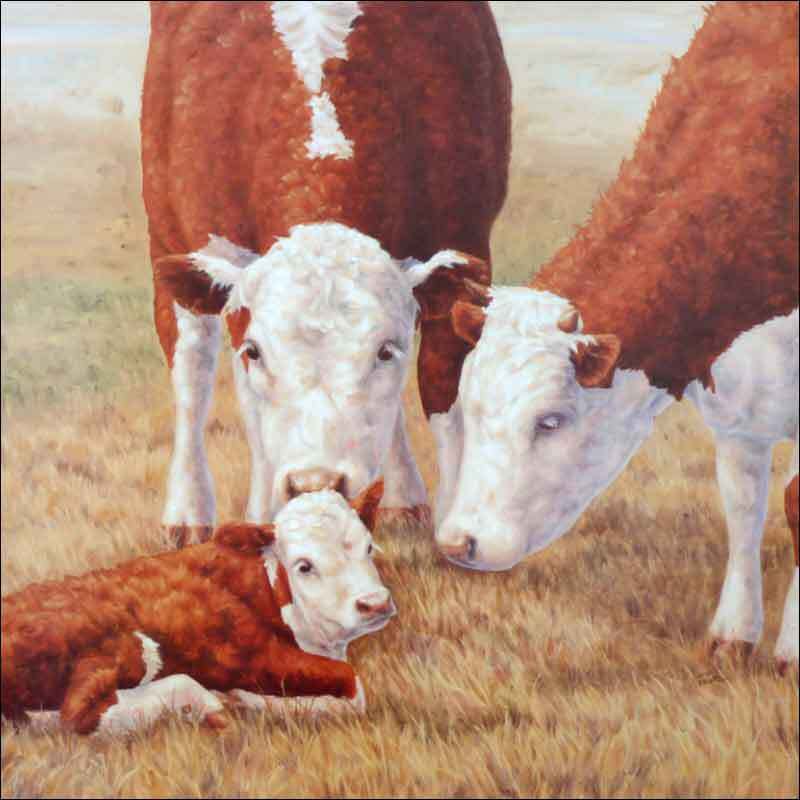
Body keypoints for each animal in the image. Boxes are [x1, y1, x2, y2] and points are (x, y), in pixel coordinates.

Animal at [1, 483, 393, 735]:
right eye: (304, 565)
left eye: (368, 546)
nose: (375, 603)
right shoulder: (255, 657)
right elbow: (353, 686)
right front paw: (261, 703)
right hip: (123, 647)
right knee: (78, 715)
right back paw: (211, 704)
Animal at [141, 1, 511, 545]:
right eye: (257, 351)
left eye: (384, 351)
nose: (316, 483)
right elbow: (242, 403)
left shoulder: (465, 244)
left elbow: (442, 391)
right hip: (168, 239)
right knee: (191, 371)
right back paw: (188, 514)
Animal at [433, 2, 799, 666]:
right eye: (469, 408)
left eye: (551, 421)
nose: (457, 544)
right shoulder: (733, 397)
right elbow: (743, 504)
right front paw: (732, 636)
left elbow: (796, 503)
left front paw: (791, 648)